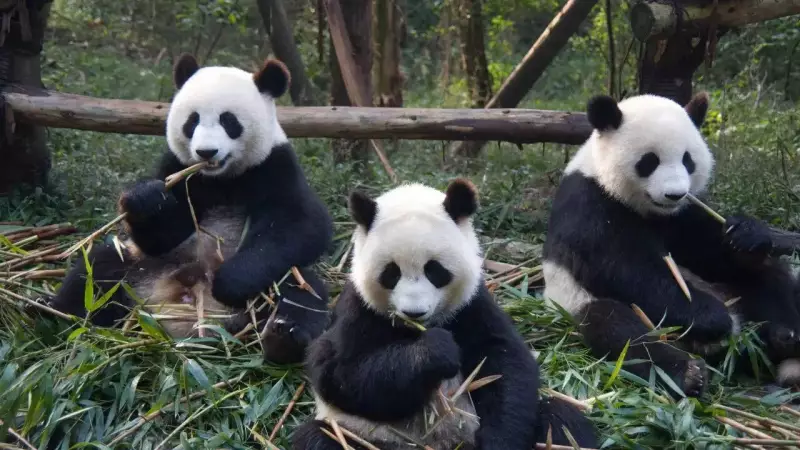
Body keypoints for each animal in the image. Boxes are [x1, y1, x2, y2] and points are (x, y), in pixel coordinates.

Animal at [49, 53, 333, 365]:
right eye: (192, 121)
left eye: (229, 121)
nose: (206, 152)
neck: (221, 178)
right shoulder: (179, 169)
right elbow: (163, 236)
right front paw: (145, 199)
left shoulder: (274, 166)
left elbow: (301, 226)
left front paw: (230, 282)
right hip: (141, 268)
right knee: (96, 270)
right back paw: (48, 314)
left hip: (274, 285)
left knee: (301, 290)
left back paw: (283, 337)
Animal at [291, 180, 598, 450]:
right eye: (391, 273)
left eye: (434, 270)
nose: (414, 312)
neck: (415, 329)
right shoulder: (358, 309)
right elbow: (340, 372)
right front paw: (435, 351)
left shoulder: (472, 305)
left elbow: (505, 364)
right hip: (365, 435)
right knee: (320, 438)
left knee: (562, 419)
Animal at [542, 92, 800, 397]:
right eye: (649, 161)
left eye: (688, 160)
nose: (674, 194)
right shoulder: (589, 203)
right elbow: (626, 269)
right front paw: (711, 316)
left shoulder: (683, 214)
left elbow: (710, 249)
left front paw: (746, 233)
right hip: (579, 301)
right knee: (617, 328)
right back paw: (689, 372)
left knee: (768, 275)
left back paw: (784, 335)